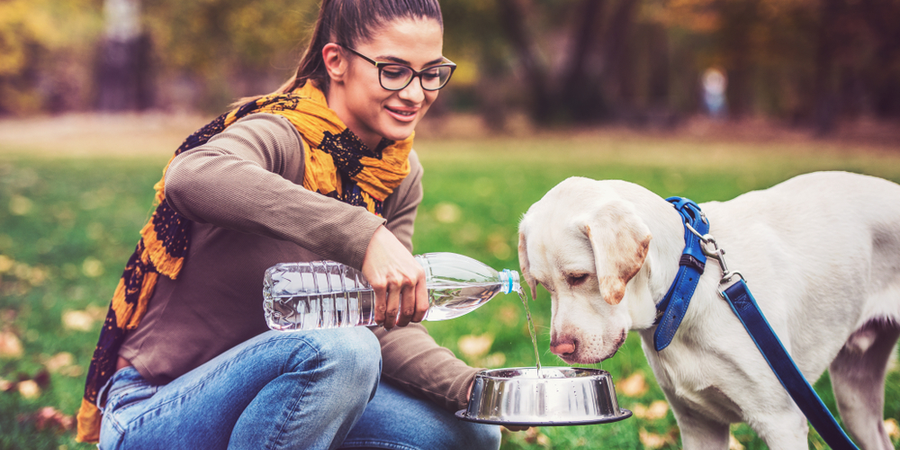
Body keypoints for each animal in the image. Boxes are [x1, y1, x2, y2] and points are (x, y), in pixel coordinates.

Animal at [516, 171, 900, 448]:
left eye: (579, 277)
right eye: (544, 286)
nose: (560, 349)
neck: (689, 286)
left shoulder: (782, 422)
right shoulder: (698, 424)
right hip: (854, 398)